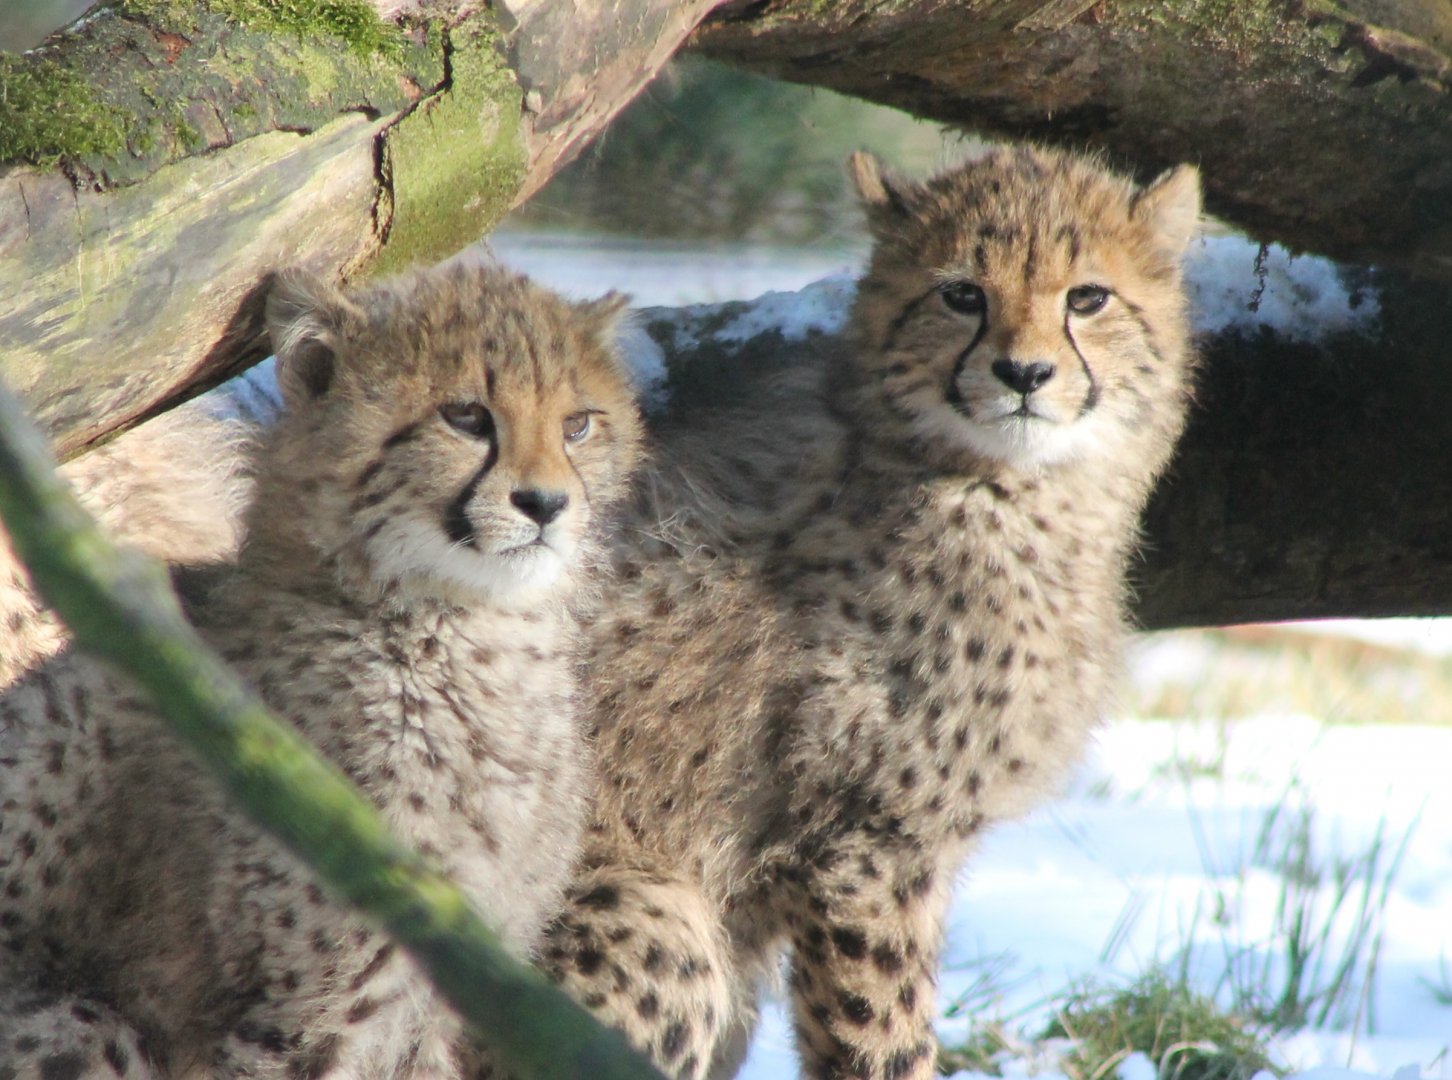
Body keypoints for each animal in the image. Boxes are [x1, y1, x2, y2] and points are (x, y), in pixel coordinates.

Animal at [0, 260, 642, 1079]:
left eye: (577, 425)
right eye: (466, 417)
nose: (547, 504)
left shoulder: (439, 1002)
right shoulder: (306, 1016)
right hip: (81, 1026)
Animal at [540, 146, 1202, 1080]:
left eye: (1088, 298)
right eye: (961, 293)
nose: (1025, 374)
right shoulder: (863, 849)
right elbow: (882, 1039)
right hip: (653, 920)